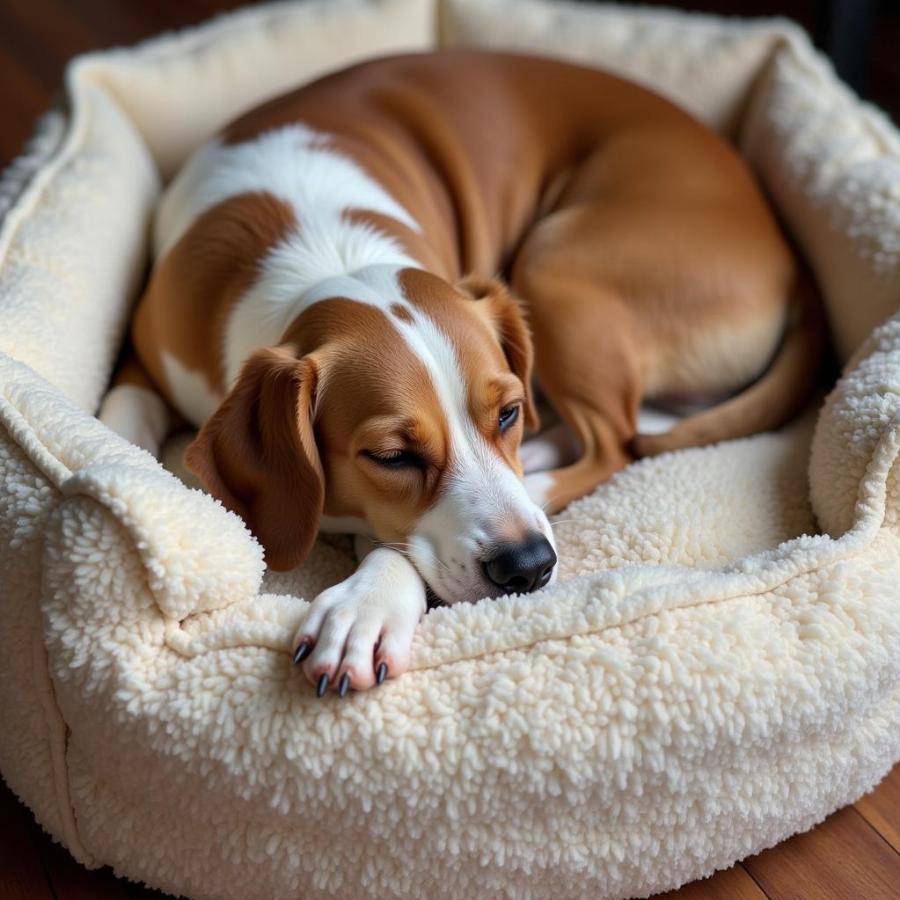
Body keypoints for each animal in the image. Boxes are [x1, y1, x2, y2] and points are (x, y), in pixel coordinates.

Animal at [96, 49, 824, 696]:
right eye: (391, 456)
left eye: (506, 413)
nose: (529, 565)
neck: (325, 256)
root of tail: (794, 263)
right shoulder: (144, 353)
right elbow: (122, 418)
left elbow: (397, 546)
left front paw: (363, 607)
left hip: (552, 260)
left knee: (617, 440)